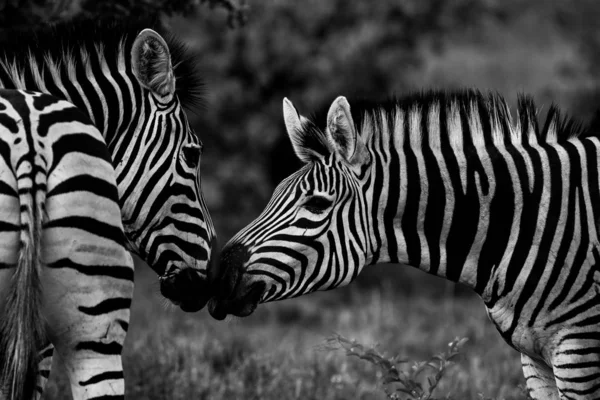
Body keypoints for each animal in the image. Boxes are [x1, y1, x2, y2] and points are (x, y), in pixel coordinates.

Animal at [210, 91, 600, 400]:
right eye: (273, 195)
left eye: (318, 204)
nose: (216, 280)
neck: (527, 221)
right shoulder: (534, 359)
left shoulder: (580, 350)